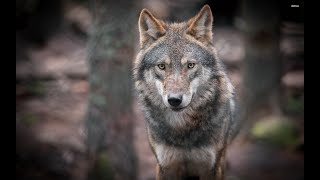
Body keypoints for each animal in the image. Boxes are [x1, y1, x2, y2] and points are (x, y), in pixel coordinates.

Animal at [133, 4, 238, 180]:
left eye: (190, 65)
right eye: (162, 66)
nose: (174, 100)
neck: (182, 128)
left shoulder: (211, 168)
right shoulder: (165, 166)